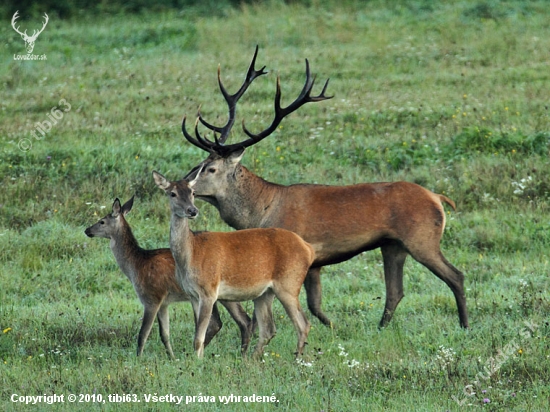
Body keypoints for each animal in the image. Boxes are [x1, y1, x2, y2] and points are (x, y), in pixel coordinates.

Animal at [84, 196, 252, 358]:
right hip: (226, 293)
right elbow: (164, 334)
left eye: (102, 221)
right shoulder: (164, 302)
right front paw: (172, 357)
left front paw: (138, 359)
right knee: (242, 319)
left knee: (219, 322)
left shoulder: (151, 297)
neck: (136, 266)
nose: (87, 230)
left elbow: (143, 334)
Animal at [153, 171, 316, 358]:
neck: (190, 254)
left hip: (289, 284)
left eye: (192, 192)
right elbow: (198, 335)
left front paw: (198, 361)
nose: (192, 211)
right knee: (268, 329)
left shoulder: (209, 291)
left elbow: (199, 337)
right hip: (265, 293)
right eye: (172, 193)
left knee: (303, 324)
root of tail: (308, 249)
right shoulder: (192, 294)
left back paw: (297, 359)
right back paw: (251, 359)